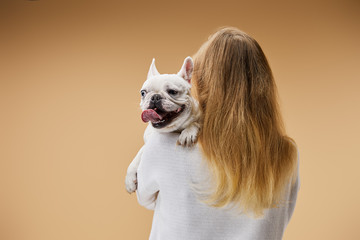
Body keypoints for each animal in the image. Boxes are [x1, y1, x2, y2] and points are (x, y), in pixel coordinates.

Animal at [125, 57, 200, 194]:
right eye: (143, 93)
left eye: (173, 92)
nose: (155, 97)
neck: (173, 129)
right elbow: (139, 154)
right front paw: (129, 179)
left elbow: (195, 122)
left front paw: (188, 132)